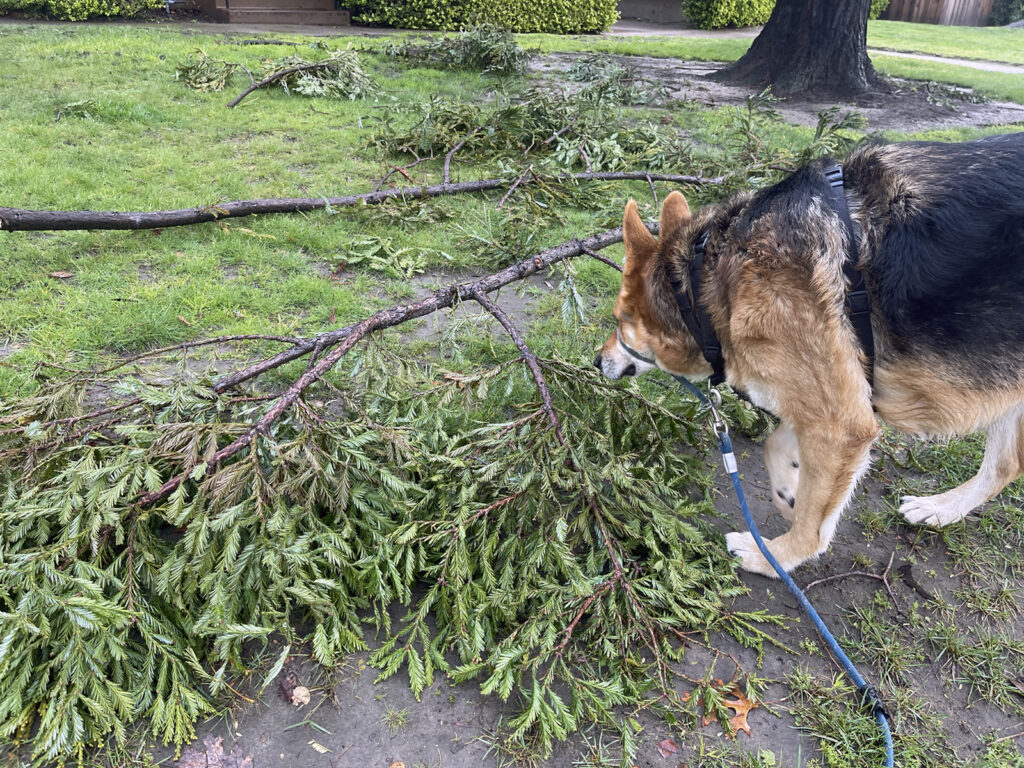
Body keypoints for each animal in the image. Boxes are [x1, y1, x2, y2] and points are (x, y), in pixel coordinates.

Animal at [593, 134, 1024, 577]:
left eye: (620, 318)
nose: (596, 360)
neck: (705, 281)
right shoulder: (831, 404)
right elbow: (777, 442)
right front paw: (788, 490)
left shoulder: (841, 426)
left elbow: (812, 526)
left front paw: (774, 557)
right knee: (1006, 466)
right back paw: (941, 509)